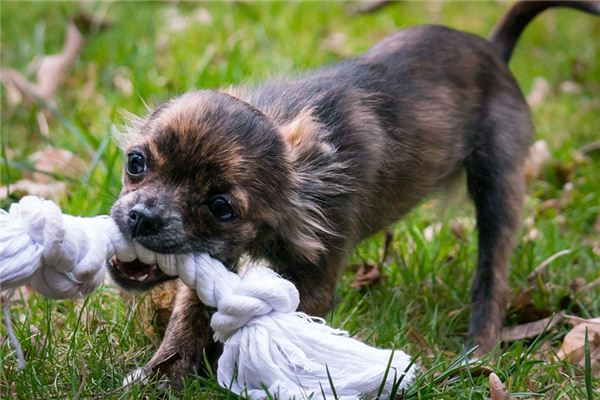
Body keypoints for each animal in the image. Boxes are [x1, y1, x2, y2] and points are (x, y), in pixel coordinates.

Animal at [108, 0, 600, 388]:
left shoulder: (314, 278)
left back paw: (476, 353)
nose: (142, 217)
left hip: (498, 185)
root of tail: (494, 51)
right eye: (136, 163)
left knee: (492, 278)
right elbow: (188, 317)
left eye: (220, 207)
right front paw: (161, 377)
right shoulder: (216, 258)